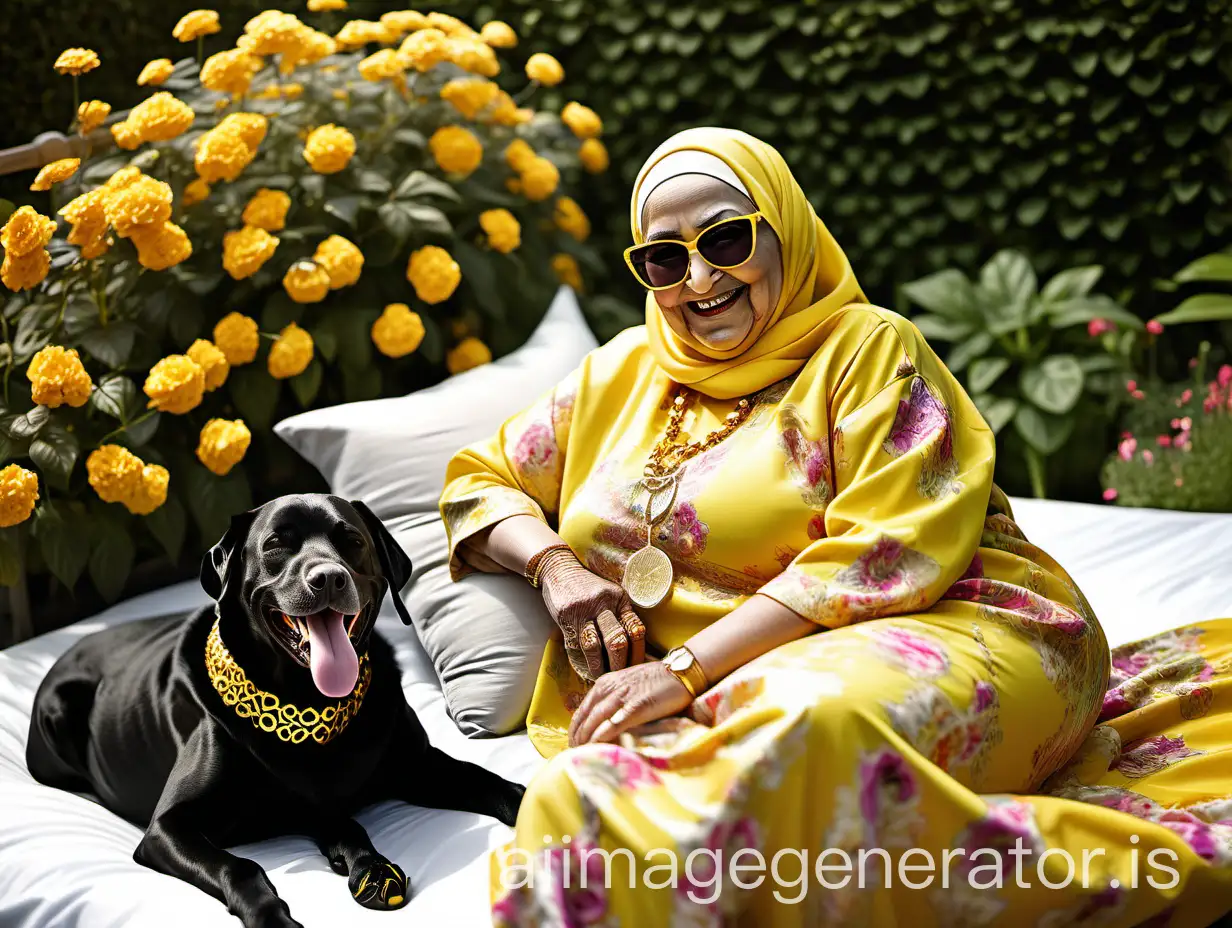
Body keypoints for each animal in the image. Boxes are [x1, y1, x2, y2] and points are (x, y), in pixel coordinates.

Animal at [25, 495, 524, 921]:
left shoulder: (415, 764)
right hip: (59, 710)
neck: (309, 705)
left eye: (352, 540)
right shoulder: (167, 828)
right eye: (276, 544)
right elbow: (242, 866)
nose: (328, 577)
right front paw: (275, 915)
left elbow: (488, 780)